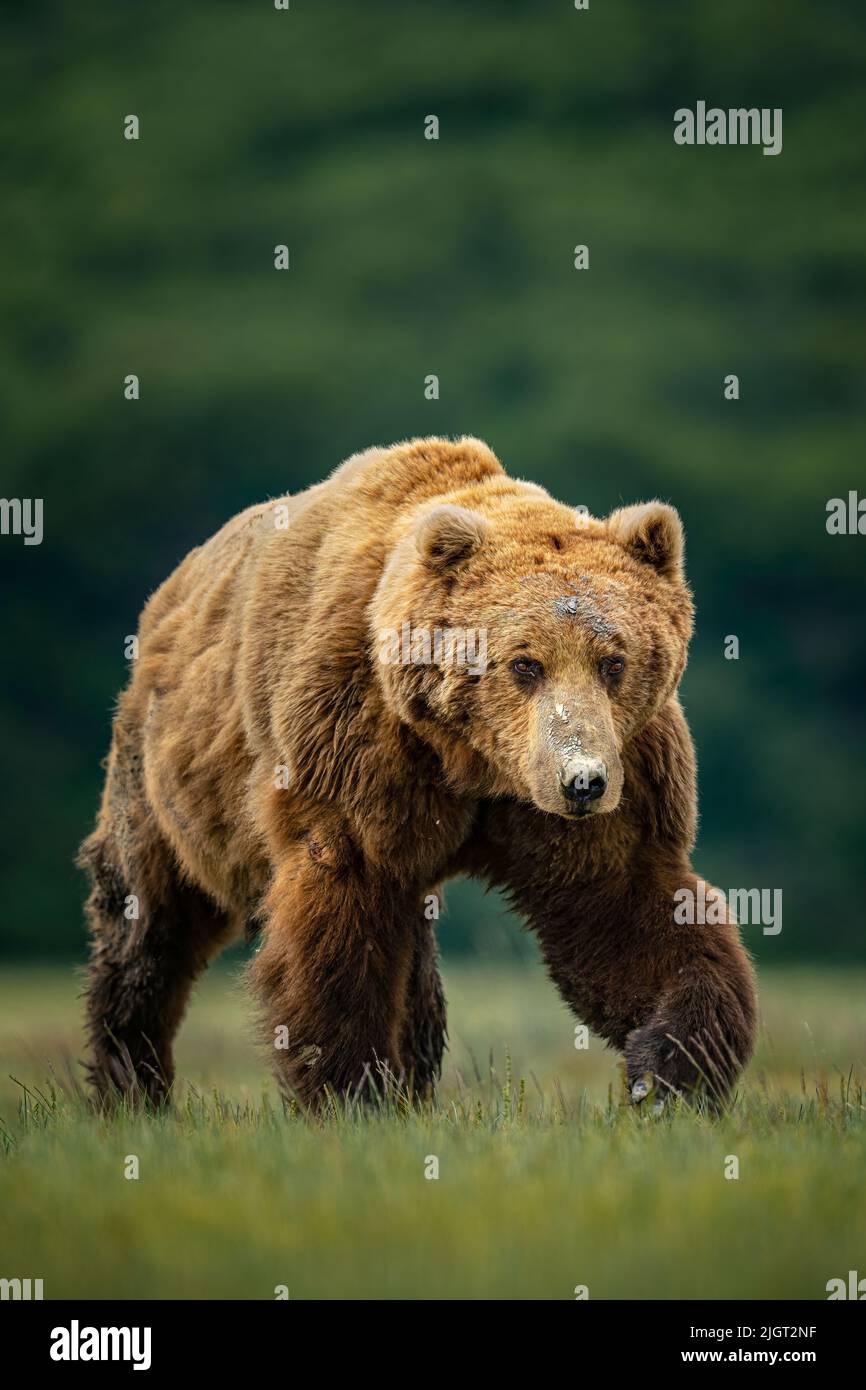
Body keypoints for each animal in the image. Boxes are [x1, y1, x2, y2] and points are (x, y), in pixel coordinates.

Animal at [80, 436, 757, 1109]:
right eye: (525, 663)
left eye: (613, 661)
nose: (582, 781)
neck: (476, 762)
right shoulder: (357, 739)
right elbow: (343, 910)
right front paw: (349, 1086)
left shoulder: (616, 771)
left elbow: (622, 909)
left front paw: (671, 1071)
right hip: (166, 776)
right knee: (148, 919)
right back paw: (131, 1079)